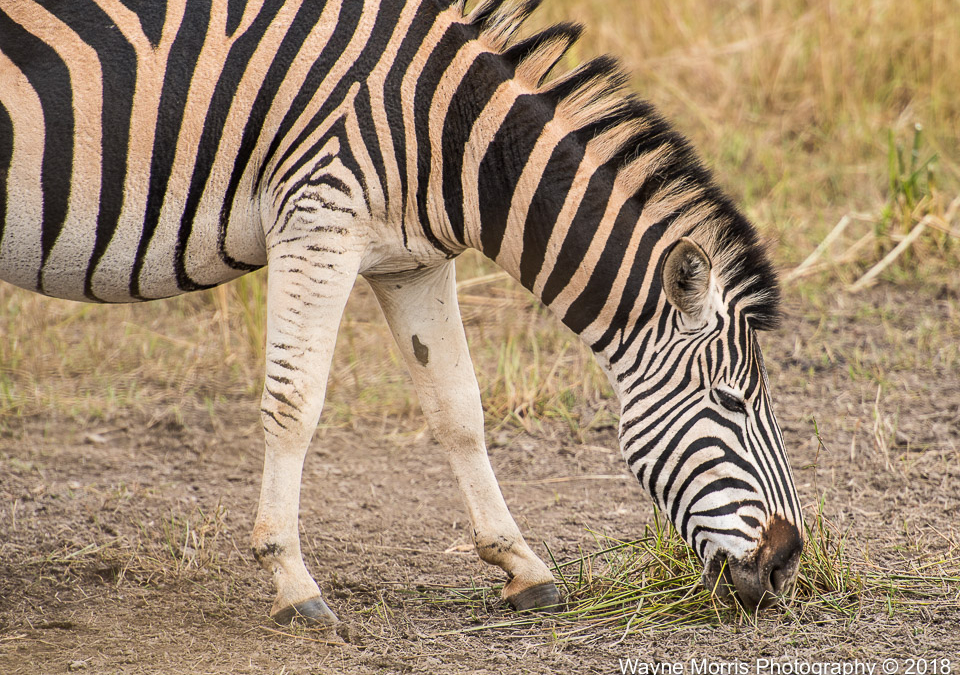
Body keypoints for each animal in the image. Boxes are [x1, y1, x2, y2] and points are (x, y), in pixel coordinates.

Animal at [1, 0, 804, 624]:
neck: (448, 134)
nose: (788, 561)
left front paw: (522, 566)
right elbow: (295, 403)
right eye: (732, 402)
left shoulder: (411, 262)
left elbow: (458, 406)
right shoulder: (317, 220)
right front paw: (291, 580)